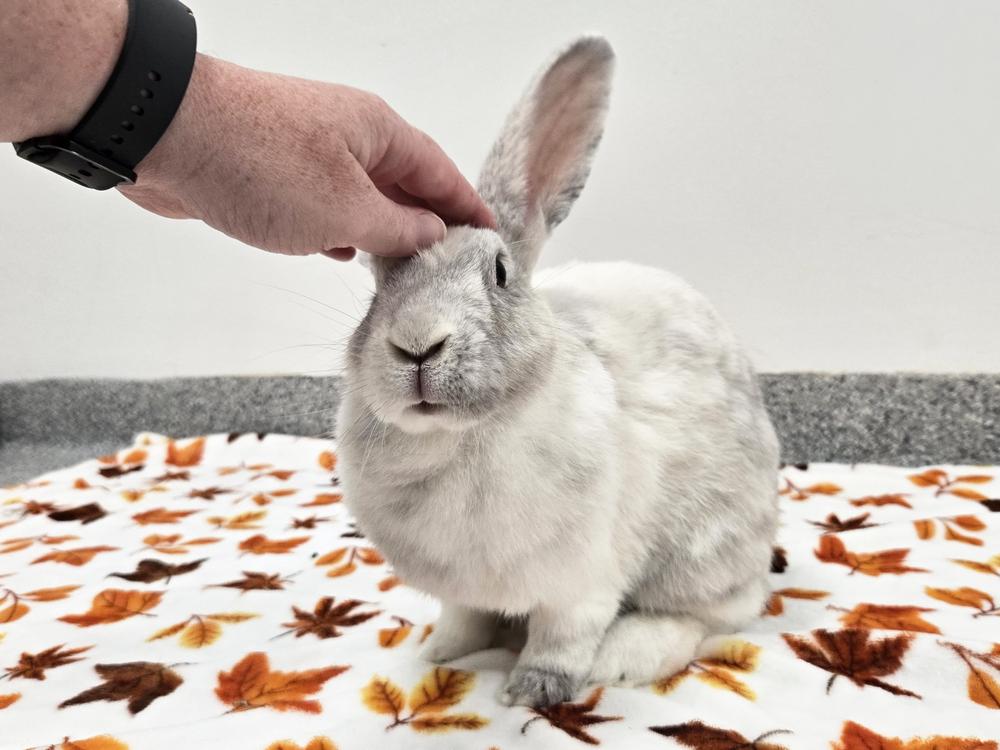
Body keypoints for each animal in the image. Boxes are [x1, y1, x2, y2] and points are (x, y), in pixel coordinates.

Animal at [336, 35, 780, 709]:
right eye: (377, 288)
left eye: (499, 273)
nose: (416, 344)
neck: (458, 440)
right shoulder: (461, 591)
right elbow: (463, 619)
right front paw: (437, 653)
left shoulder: (583, 582)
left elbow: (562, 637)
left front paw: (530, 691)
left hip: (704, 551)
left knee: (707, 617)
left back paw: (623, 658)